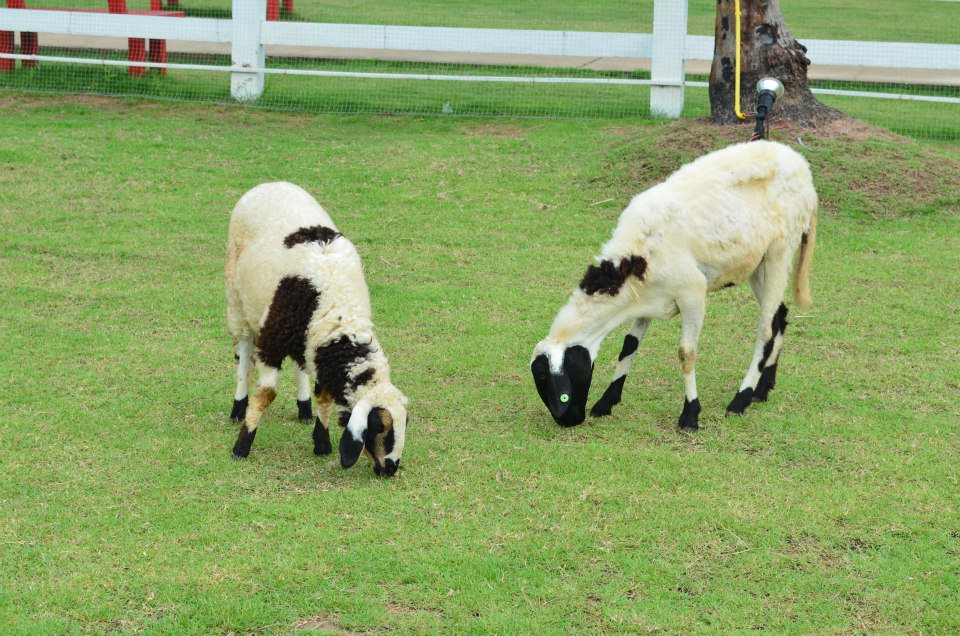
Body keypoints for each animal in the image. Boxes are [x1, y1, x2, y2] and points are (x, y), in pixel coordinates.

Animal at [225, 182, 408, 475]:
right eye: (379, 426)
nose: (390, 468)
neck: (340, 307)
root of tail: (270, 183)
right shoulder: (272, 340)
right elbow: (266, 394)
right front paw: (242, 445)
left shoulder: (320, 343)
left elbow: (324, 395)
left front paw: (322, 443)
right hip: (237, 301)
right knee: (243, 353)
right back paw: (238, 406)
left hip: (302, 337)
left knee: (300, 363)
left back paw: (303, 408)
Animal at [531, 140, 817, 431]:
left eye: (562, 393)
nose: (569, 421)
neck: (637, 257)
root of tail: (800, 166)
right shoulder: (647, 298)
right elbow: (629, 344)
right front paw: (606, 402)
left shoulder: (692, 293)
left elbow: (686, 353)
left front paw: (690, 414)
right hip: (758, 264)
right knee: (779, 316)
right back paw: (762, 389)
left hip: (779, 252)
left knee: (765, 330)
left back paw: (741, 399)